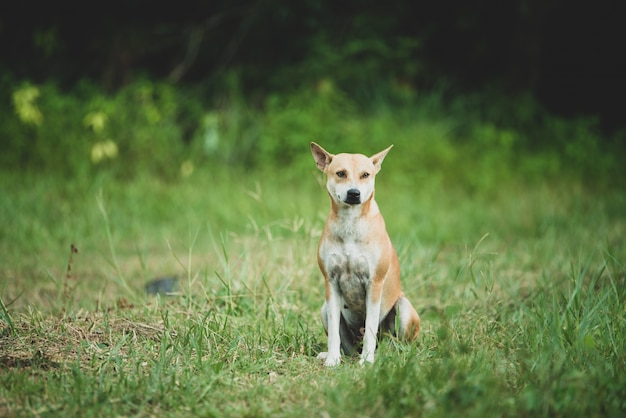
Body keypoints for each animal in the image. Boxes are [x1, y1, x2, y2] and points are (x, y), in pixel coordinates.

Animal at [310, 141, 420, 366]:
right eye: (341, 173)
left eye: (365, 174)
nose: (354, 193)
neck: (350, 223)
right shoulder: (330, 282)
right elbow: (334, 331)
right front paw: (332, 359)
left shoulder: (374, 283)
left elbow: (370, 326)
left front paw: (367, 361)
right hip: (324, 309)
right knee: (347, 347)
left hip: (403, 309)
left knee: (396, 342)